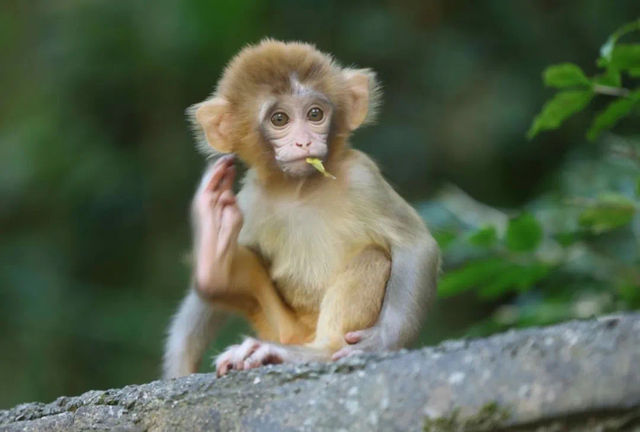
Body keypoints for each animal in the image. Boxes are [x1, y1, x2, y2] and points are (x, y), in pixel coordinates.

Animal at [164, 40, 440, 378]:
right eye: (279, 119)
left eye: (315, 114)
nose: (304, 142)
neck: (300, 189)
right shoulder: (250, 200)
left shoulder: (363, 178)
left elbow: (415, 246)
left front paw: (380, 342)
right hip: (279, 325)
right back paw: (212, 261)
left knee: (373, 256)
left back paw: (310, 353)